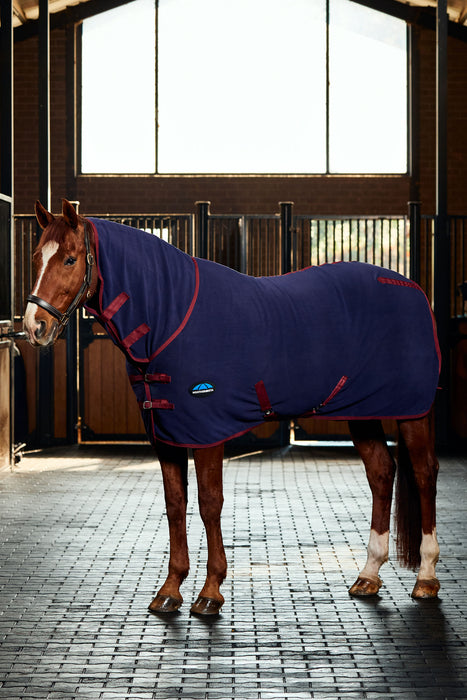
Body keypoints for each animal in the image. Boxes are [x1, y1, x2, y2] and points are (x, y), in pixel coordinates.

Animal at [23, 199, 441, 616]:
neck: (169, 315)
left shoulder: (207, 430)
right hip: (361, 412)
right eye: (36, 257)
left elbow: (209, 503)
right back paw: (368, 576)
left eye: (70, 259)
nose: (34, 326)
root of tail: (414, 290)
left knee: (424, 474)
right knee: (381, 473)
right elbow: (175, 504)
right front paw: (170, 589)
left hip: (412, 411)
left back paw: (425, 578)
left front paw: (210, 592)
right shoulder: (166, 432)